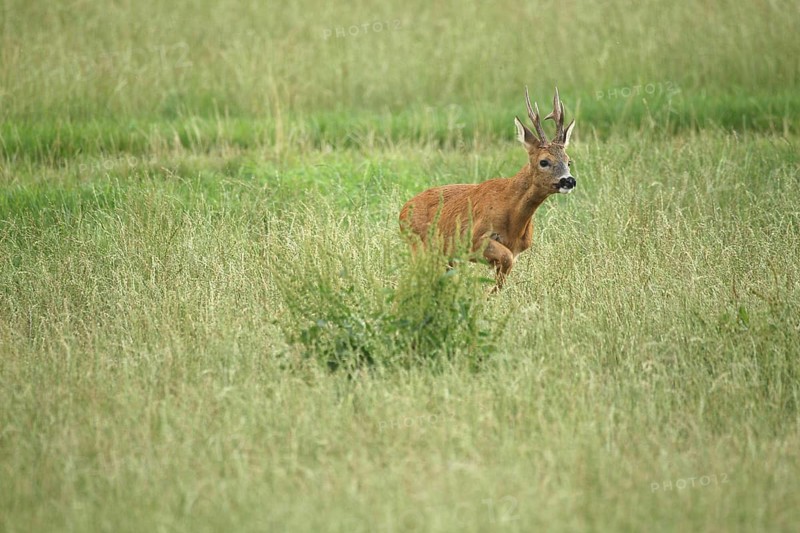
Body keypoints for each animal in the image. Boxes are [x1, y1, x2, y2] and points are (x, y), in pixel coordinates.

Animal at [399, 87, 577, 291]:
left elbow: (503, 273)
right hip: (419, 246)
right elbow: (505, 259)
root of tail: (403, 210)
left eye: (568, 161)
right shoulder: (473, 238)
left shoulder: (515, 250)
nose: (569, 181)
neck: (512, 215)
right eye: (544, 161)